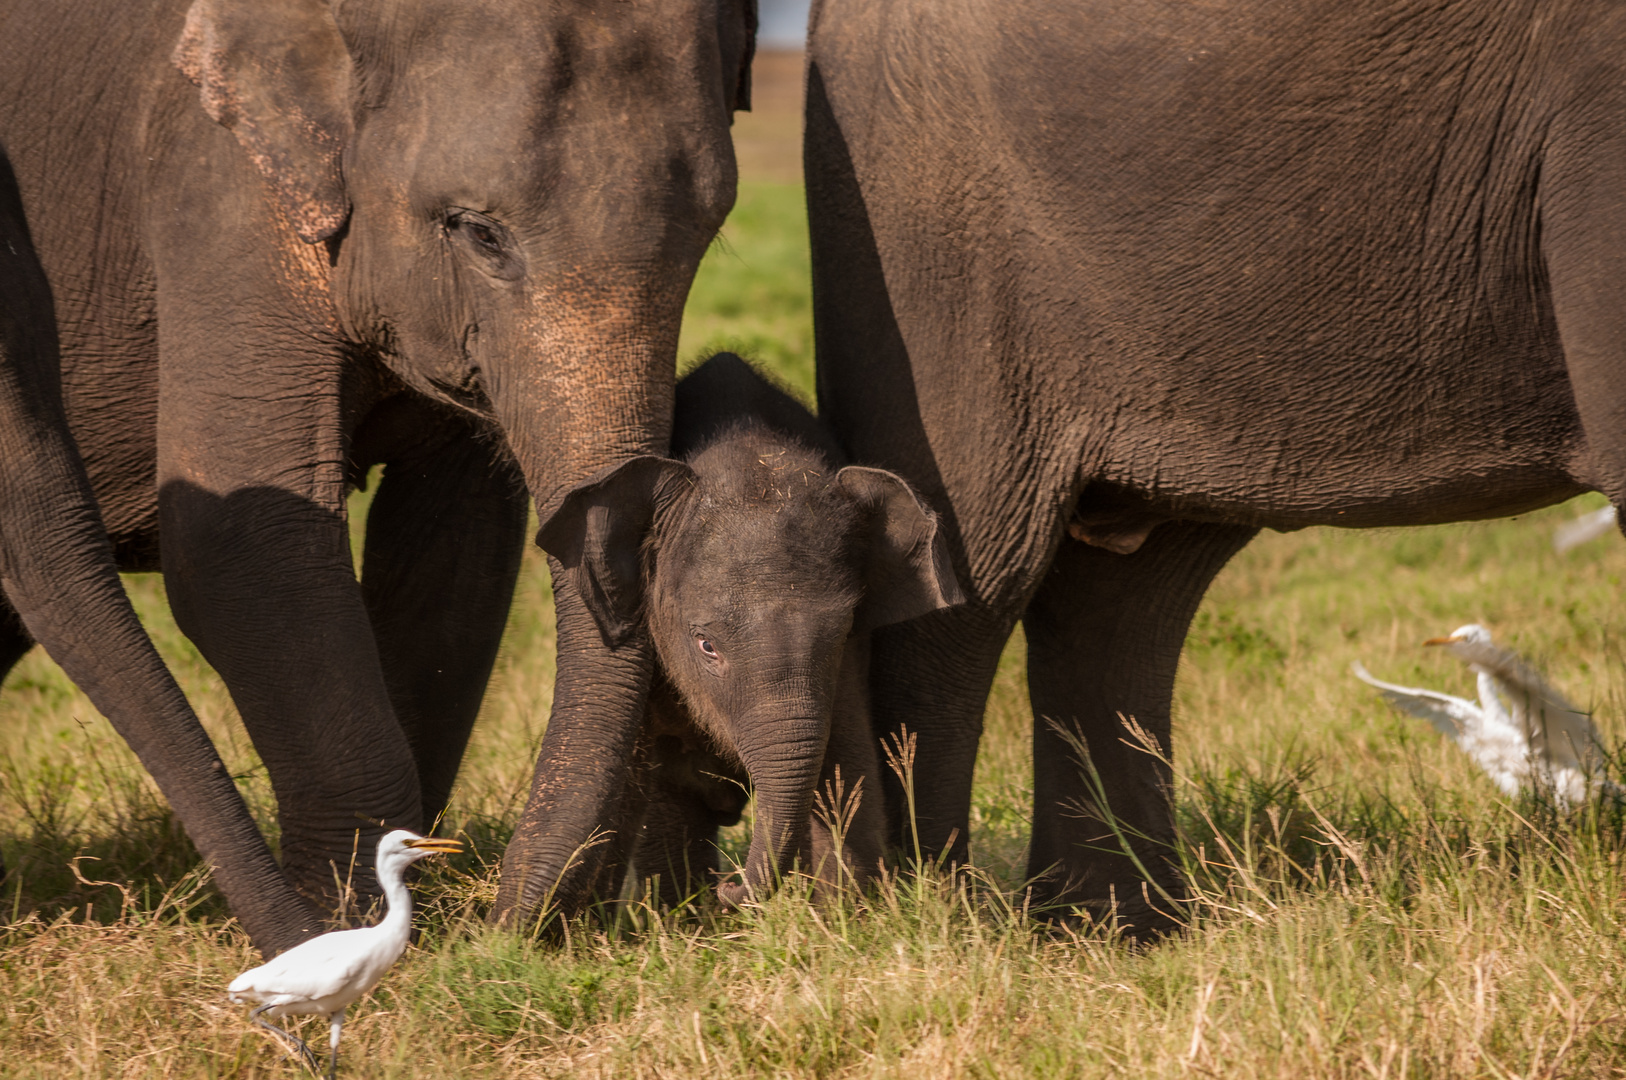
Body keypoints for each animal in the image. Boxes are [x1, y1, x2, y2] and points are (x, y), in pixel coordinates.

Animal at [0, 0, 754, 949]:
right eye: (478, 232)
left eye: (710, 232)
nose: (506, 925)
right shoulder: (210, 186)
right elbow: (245, 542)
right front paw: (347, 923)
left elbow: (455, 551)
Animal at [539, 354, 956, 904]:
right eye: (706, 645)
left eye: (843, 635)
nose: (730, 888)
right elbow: (657, 783)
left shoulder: (847, 669)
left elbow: (847, 769)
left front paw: (846, 913)